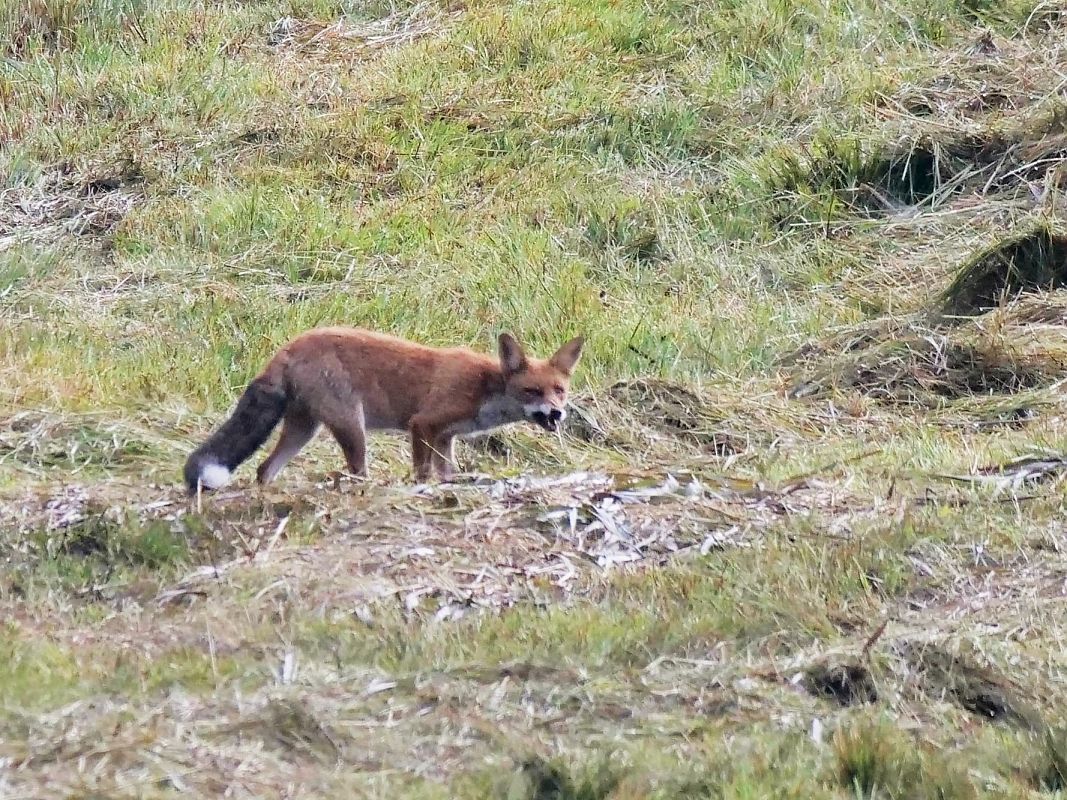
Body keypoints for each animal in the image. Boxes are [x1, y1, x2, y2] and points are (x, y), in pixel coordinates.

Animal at [182, 327, 585, 493]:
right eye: (532, 391)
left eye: (560, 391)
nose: (556, 414)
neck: (486, 387)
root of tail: (288, 347)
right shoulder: (423, 424)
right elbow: (423, 472)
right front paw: (422, 489)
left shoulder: (446, 437)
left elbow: (446, 472)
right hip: (352, 426)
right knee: (357, 472)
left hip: (305, 429)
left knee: (264, 469)